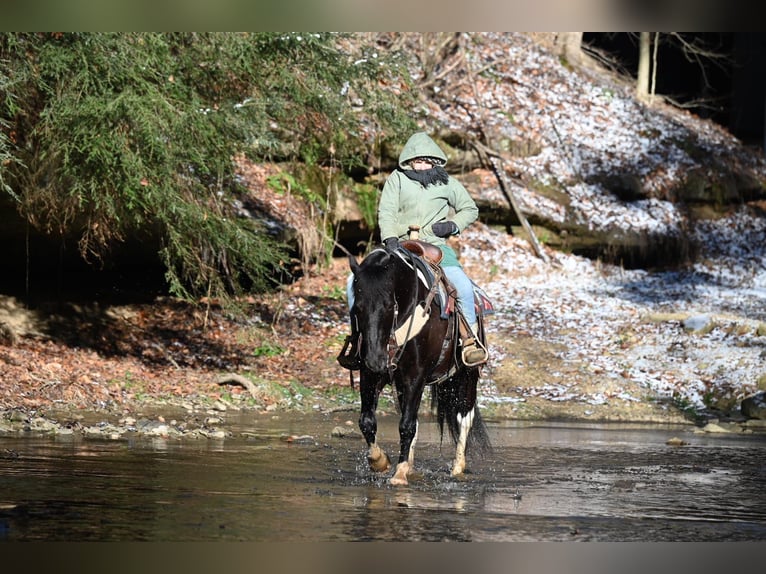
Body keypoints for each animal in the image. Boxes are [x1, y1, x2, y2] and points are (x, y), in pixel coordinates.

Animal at [340, 243, 492, 486]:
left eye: (388, 306)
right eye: (358, 308)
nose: (375, 360)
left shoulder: (416, 376)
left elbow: (406, 425)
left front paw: (399, 473)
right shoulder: (370, 375)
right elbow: (367, 421)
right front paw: (380, 461)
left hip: (467, 375)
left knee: (464, 418)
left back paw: (457, 467)